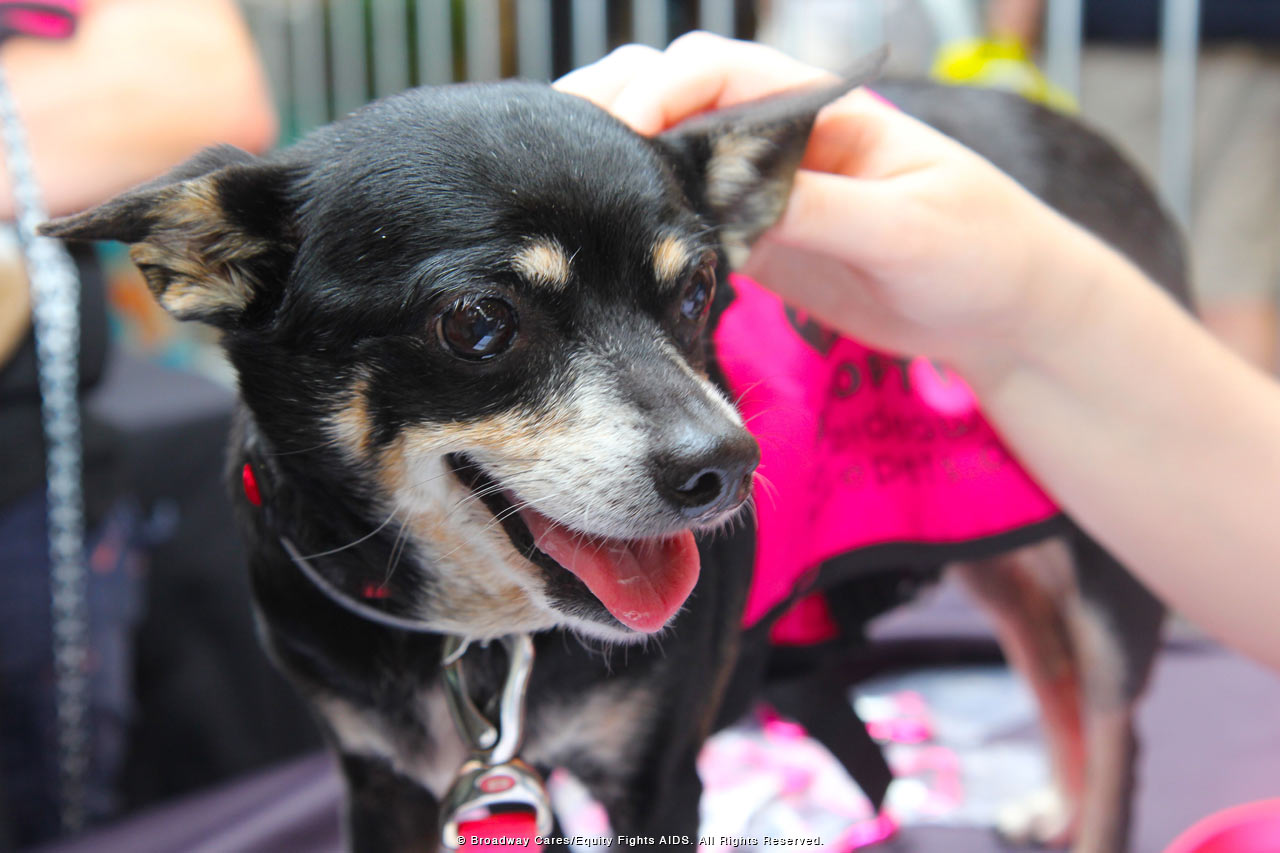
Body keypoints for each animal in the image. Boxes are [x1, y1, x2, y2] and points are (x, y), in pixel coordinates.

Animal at [47, 49, 1187, 845]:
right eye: (477, 322)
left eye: (698, 290)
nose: (727, 466)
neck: (475, 637)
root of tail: (1087, 141)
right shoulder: (385, 784)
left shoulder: (655, 778)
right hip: (1006, 552)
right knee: (1043, 659)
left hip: (1108, 563)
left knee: (1115, 723)